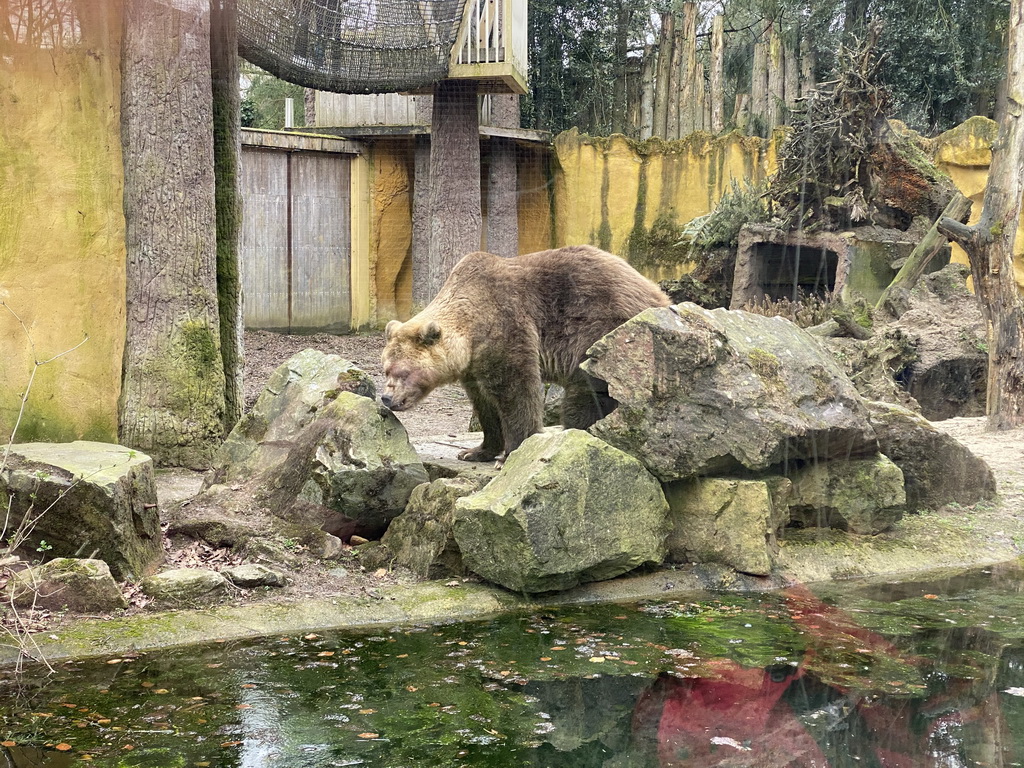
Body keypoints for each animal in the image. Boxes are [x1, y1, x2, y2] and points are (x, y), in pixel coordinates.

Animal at [380, 246, 667, 462]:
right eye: (385, 370)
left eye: (404, 372)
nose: (386, 398)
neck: (472, 329)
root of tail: (658, 295)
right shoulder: (474, 365)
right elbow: (485, 404)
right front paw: (476, 451)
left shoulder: (507, 327)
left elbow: (517, 392)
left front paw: (513, 452)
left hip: (603, 334)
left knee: (590, 390)